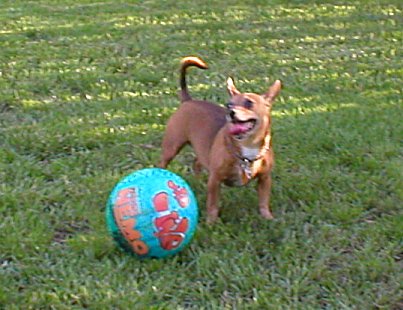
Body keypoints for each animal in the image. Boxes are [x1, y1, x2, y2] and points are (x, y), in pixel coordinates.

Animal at [159, 57, 282, 223]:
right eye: (228, 104)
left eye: (249, 103)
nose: (231, 112)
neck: (247, 147)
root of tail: (187, 101)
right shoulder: (215, 180)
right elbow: (213, 204)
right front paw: (211, 222)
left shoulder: (265, 179)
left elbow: (263, 201)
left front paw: (267, 217)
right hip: (171, 148)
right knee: (163, 163)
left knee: (197, 163)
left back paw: (198, 182)